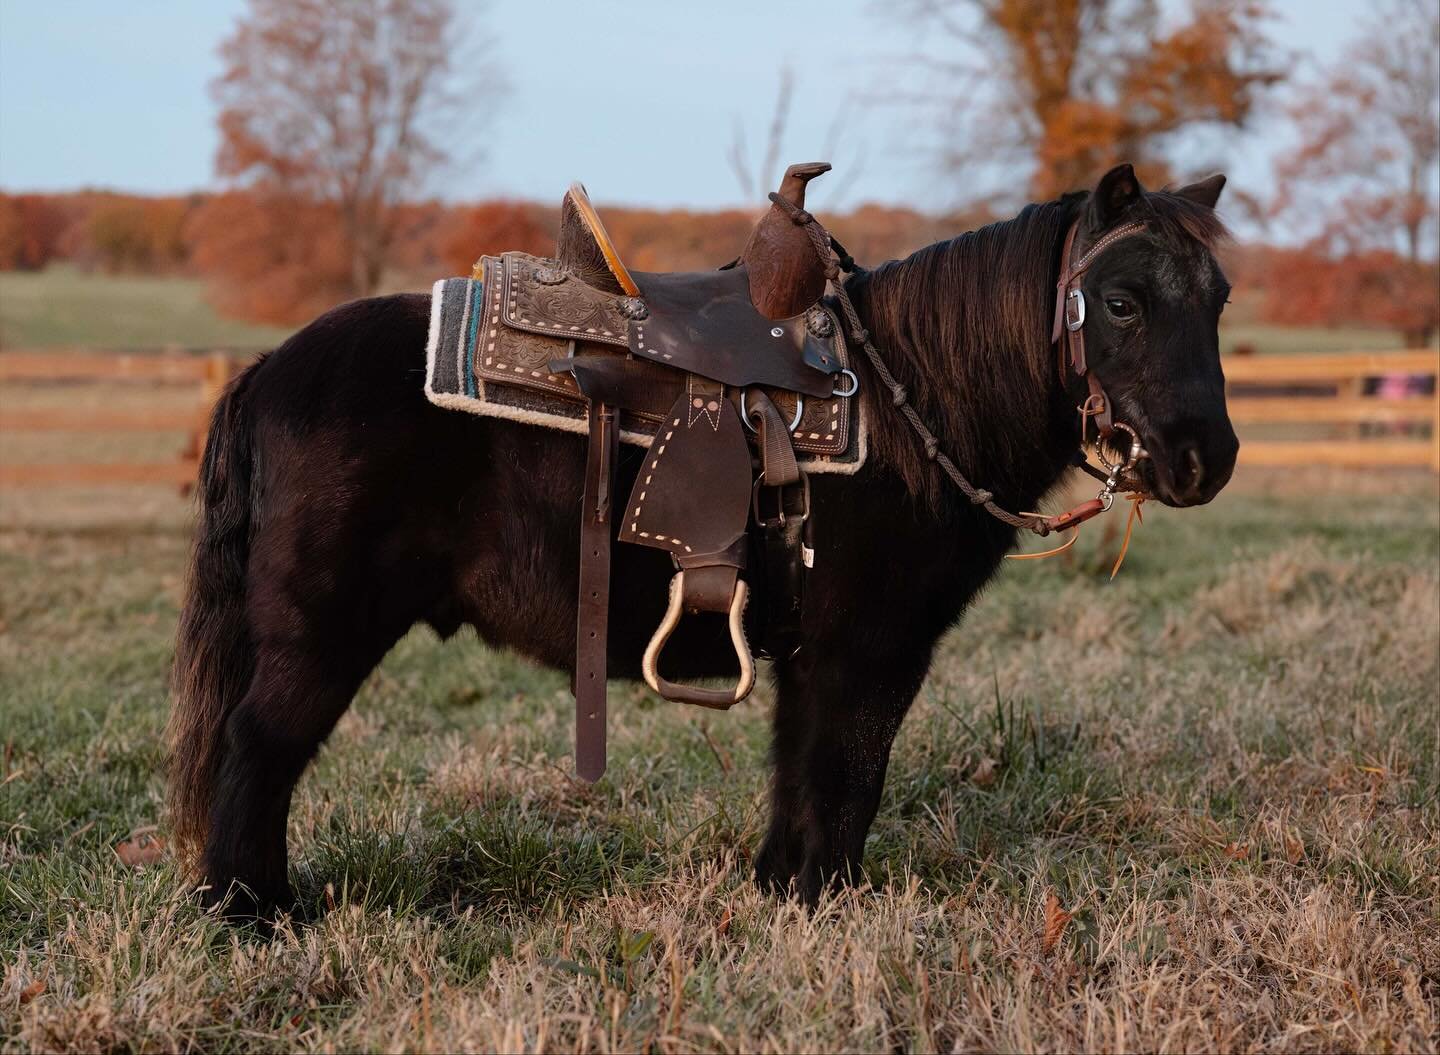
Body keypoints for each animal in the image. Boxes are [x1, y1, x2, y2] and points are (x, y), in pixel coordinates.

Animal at [166, 164, 1238, 919]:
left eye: (1219, 299)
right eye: (1123, 302)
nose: (1206, 460)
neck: (909, 404)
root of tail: (267, 371)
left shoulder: (815, 658)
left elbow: (804, 778)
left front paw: (785, 893)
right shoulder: (868, 655)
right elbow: (846, 780)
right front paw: (826, 904)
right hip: (318, 634)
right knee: (257, 749)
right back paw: (252, 914)